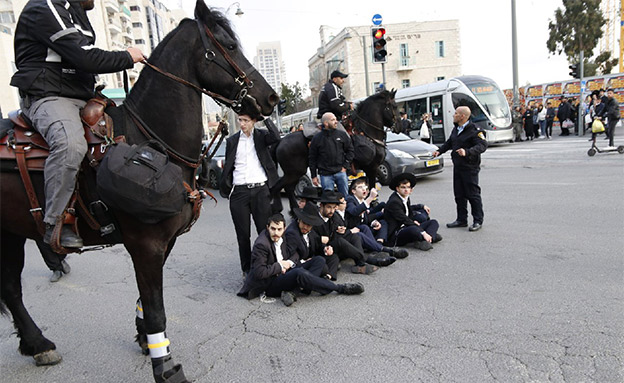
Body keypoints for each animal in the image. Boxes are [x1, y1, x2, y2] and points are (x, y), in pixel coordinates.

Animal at [0, 1, 278, 382]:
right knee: (12, 288)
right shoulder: (146, 244)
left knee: (11, 289)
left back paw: (36, 344)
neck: (150, 140)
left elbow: (146, 300)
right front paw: (166, 366)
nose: (271, 97)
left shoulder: (164, 242)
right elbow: (157, 307)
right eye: (230, 46)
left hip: (11, 233)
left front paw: (145, 338)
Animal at [272, 91, 400, 213]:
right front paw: (372, 204)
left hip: (295, 173)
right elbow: (371, 187)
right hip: (294, 172)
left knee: (288, 188)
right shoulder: (371, 167)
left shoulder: (370, 168)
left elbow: (377, 179)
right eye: (394, 106)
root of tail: (281, 141)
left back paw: (293, 210)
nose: (400, 125)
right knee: (278, 188)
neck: (366, 133)